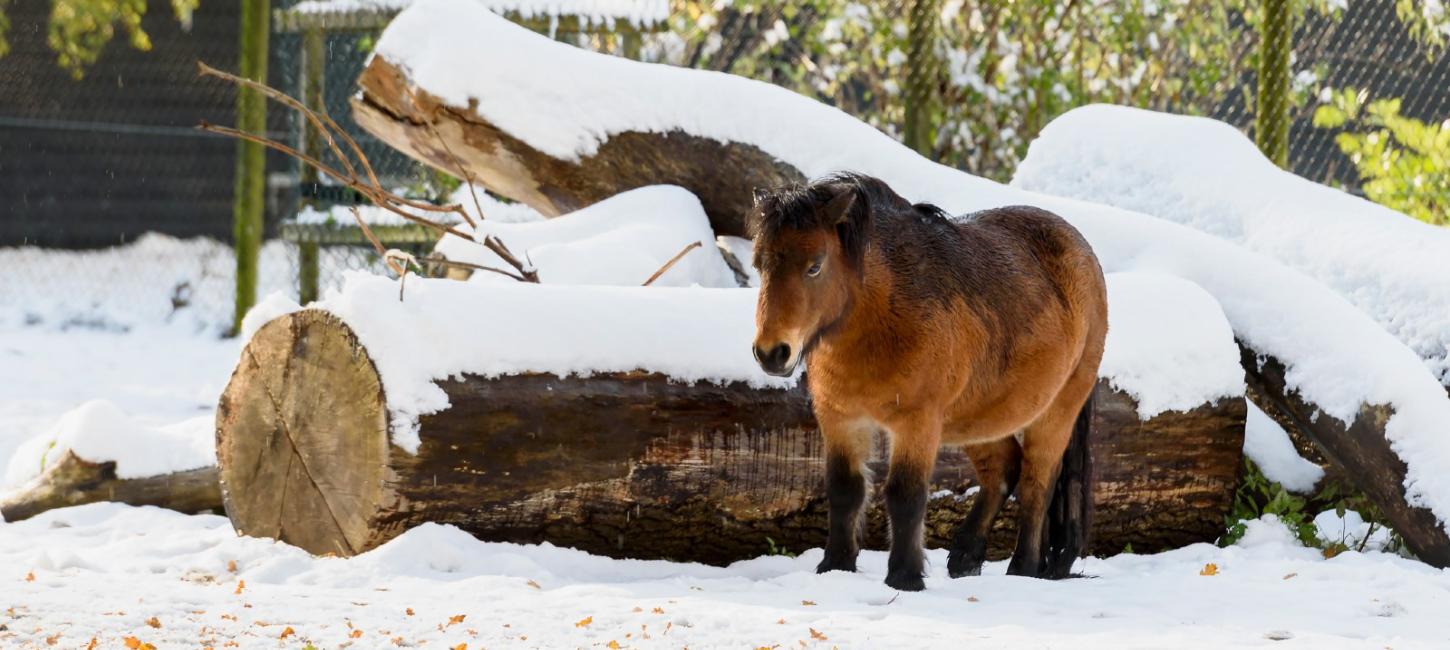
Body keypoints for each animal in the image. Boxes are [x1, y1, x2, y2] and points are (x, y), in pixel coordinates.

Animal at [754, 171, 1102, 589]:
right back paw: (966, 557)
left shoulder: (916, 422)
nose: (772, 352)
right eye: (759, 264)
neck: (882, 316)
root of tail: (1084, 252)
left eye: (814, 266)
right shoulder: (840, 417)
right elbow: (845, 489)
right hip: (980, 418)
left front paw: (904, 577)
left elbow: (905, 496)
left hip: (1057, 411)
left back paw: (1023, 569)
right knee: (1003, 470)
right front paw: (835, 567)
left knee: (1037, 484)